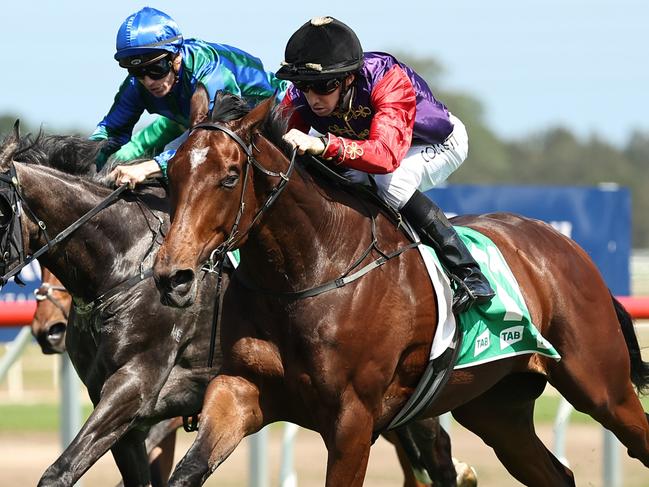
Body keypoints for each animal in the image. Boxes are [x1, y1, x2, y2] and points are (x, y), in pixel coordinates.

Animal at [153, 93, 648, 486]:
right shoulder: (240, 389)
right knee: (556, 473)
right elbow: (187, 471)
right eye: (172, 172)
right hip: (496, 410)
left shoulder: (352, 420)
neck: (310, 273)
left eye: (230, 176)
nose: (172, 276)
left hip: (601, 386)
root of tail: (568, 247)